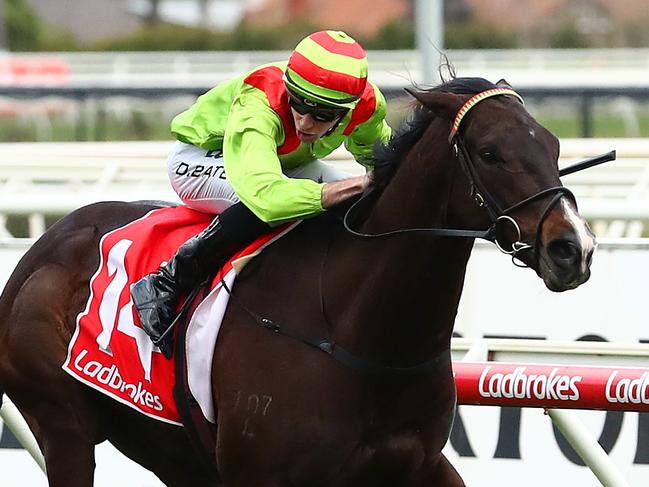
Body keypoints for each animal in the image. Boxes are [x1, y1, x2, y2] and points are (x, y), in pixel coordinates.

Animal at [0, 78, 592, 486]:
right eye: (491, 153)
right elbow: (261, 193)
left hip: (166, 446)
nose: (573, 248)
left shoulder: (421, 464)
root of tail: (43, 246)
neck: (359, 330)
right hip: (63, 428)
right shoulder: (259, 473)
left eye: (554, 146)